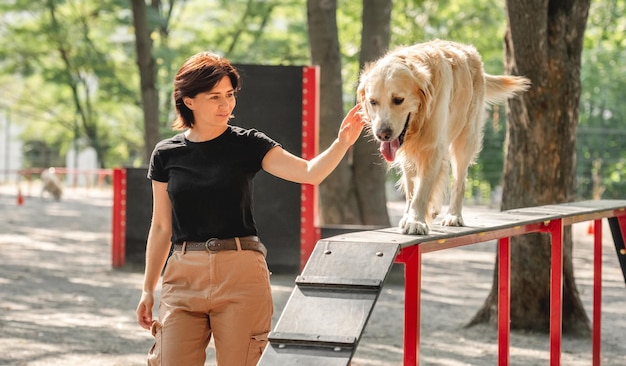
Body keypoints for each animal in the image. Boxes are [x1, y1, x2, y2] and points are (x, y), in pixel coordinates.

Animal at [356, 40, 528, 234]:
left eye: (398, 100)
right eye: (373, 102)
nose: (382, 134)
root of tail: (469, 50)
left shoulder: (432, 147)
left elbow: (422, 190)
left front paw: (416, 221)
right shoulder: (409, 152)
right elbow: (411, 188)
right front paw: (409, 216)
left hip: (465, 140)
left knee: (460, 180)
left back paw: (454, 216)